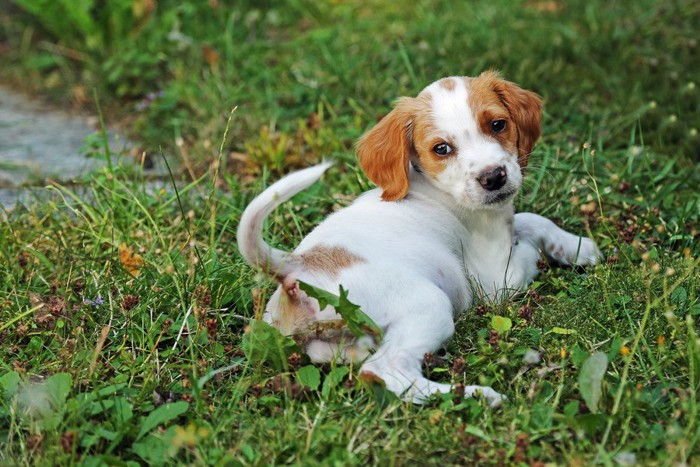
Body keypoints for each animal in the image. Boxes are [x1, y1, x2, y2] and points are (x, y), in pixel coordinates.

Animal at [238, 71, 600, 408]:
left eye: (498, 125)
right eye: (441, 149)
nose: (494, 177)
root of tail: (294, 267)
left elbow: (530, 220)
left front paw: (577, 247)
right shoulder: (498, 280)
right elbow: (527, 242)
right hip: (428, 303)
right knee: (385, 370)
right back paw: (473, 395)